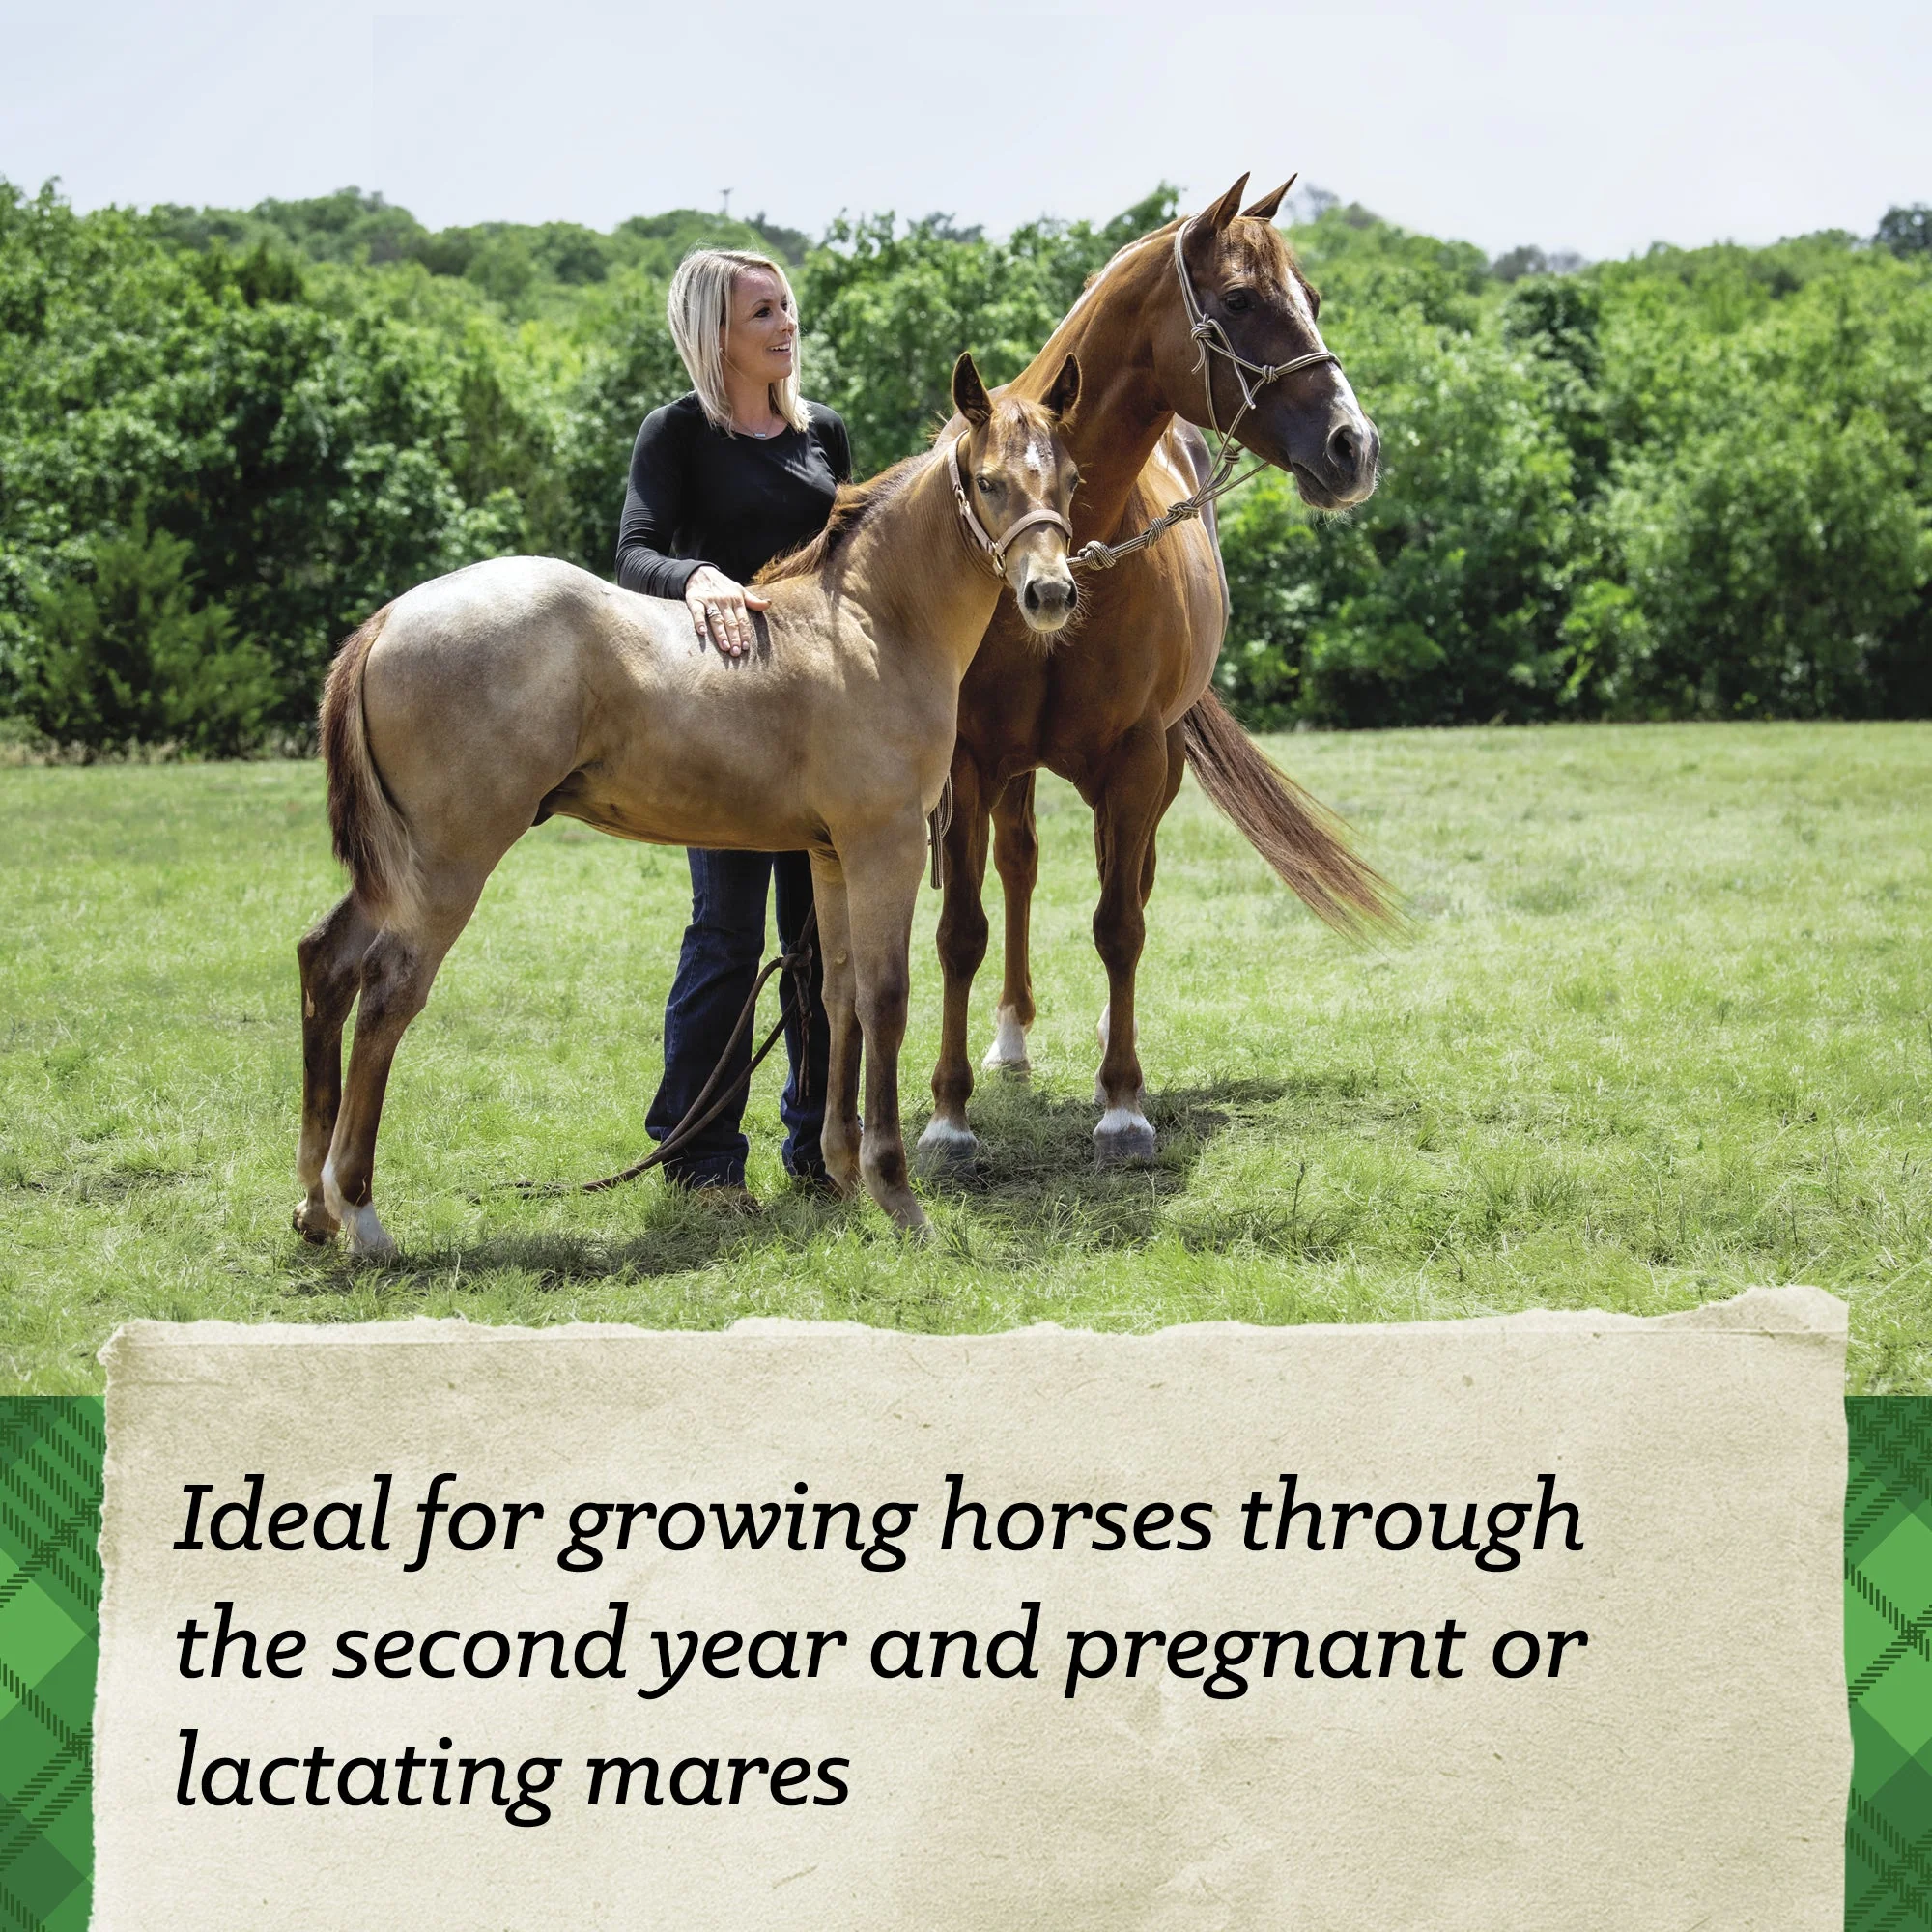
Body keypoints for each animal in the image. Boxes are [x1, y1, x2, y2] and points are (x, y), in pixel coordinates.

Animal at [293, 351, 1082, 1255]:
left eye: (1068, 479)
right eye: (989, 483)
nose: (1051, 594)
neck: (868, 625)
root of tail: (389, 618)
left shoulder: (829, 856)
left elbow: (836, 996)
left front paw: (842, 1173)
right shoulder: (886, 846)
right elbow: (885, 1000)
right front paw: (897, 1195)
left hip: (399, 870)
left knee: (326, 961)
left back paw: (314, 1206)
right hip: (446, 866)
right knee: (387, 994)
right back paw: (361, 1214)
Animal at [915, 173, 1397, 1176]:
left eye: (1313, 298)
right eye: (1242, 301)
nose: (1355, 447)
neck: (1070, 550)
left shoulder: (1138, 760)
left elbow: (1119, 922)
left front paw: (1123, 1105)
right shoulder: (969, 764)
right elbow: (962, 929)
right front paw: (948, 1118)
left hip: (1158, 763)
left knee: (1124, 882)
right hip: (1015, 775)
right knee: (1021, 866)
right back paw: (1011, 1037)